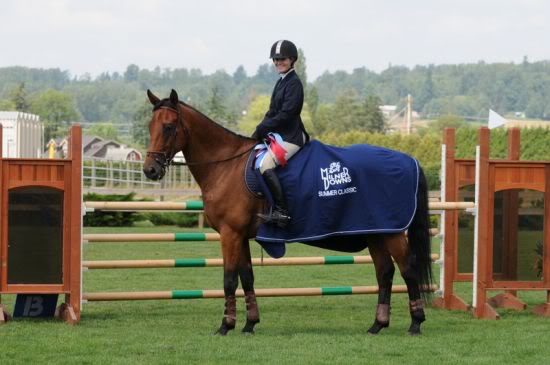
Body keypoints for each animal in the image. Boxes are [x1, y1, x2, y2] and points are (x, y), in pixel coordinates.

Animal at [143, 89, 436, 334]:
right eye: (150, 126)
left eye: (168, 127)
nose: (150, 170)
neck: (226, 166)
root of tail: (409, 160)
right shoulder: (241, 236)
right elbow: (247, 278)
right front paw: (250, 323)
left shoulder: (230, 234)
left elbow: (229, 279)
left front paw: (226, 325)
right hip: (375, 231)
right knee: (384, 272)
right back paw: (378, 324)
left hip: (392, 232)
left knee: (408, 269)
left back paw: (416, 323)